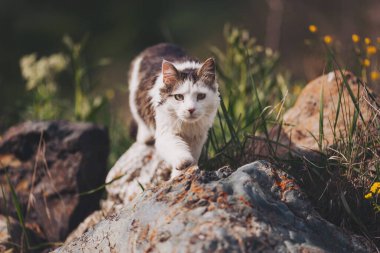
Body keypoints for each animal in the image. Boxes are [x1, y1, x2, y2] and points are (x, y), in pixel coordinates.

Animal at [129, 43, 220, 175]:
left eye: (201, 96)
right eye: (179, 97)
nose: (191, 109)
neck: (187, 126)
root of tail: (158, 45)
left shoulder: (198, 137)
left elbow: (193, 156)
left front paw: (182, 174)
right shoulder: (165, 132)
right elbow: (177, 148)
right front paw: (183, 162)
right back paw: (145, 136)